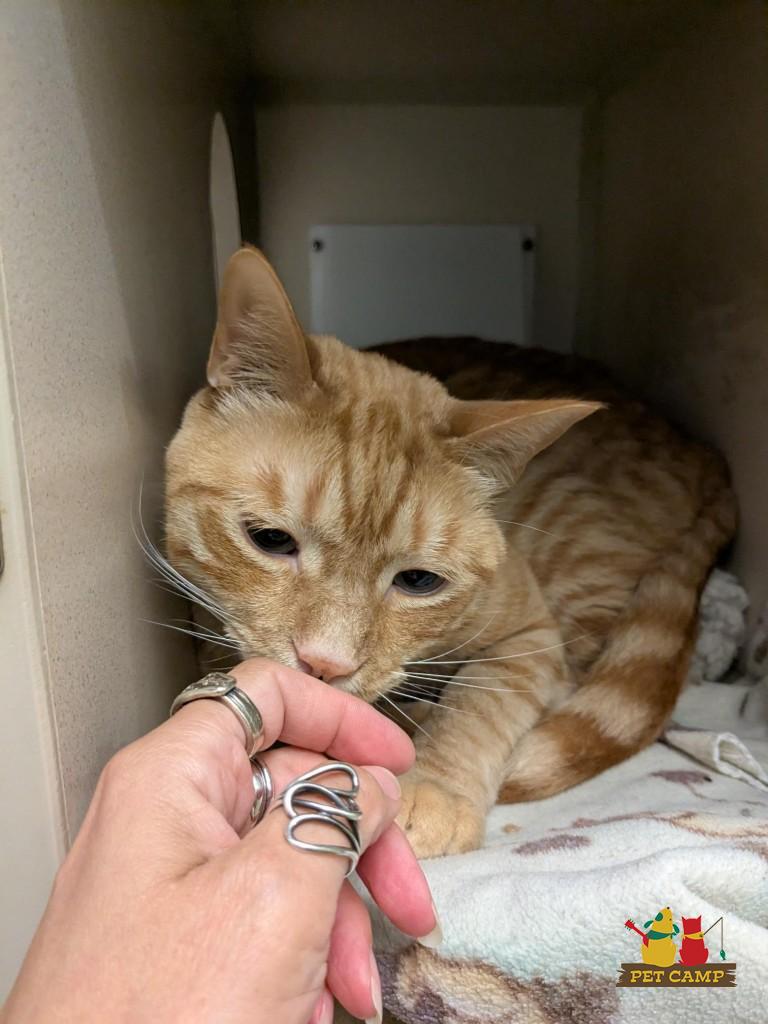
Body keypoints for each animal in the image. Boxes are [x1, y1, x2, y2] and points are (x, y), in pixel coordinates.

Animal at [164, 246, 736, 858]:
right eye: (270, 540)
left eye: (418, 581)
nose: (325, 664)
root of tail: (708, 454)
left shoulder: (533, 635)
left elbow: (482, 700)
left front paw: (435, 786)